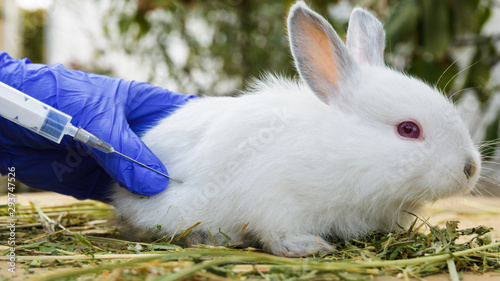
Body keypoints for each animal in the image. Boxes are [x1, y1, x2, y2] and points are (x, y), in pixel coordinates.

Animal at [112, 1, 480, 258]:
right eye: (408, 129)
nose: (470, 169)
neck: (343, 150)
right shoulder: (274, 196)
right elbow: (277, 234)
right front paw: (309, 247)